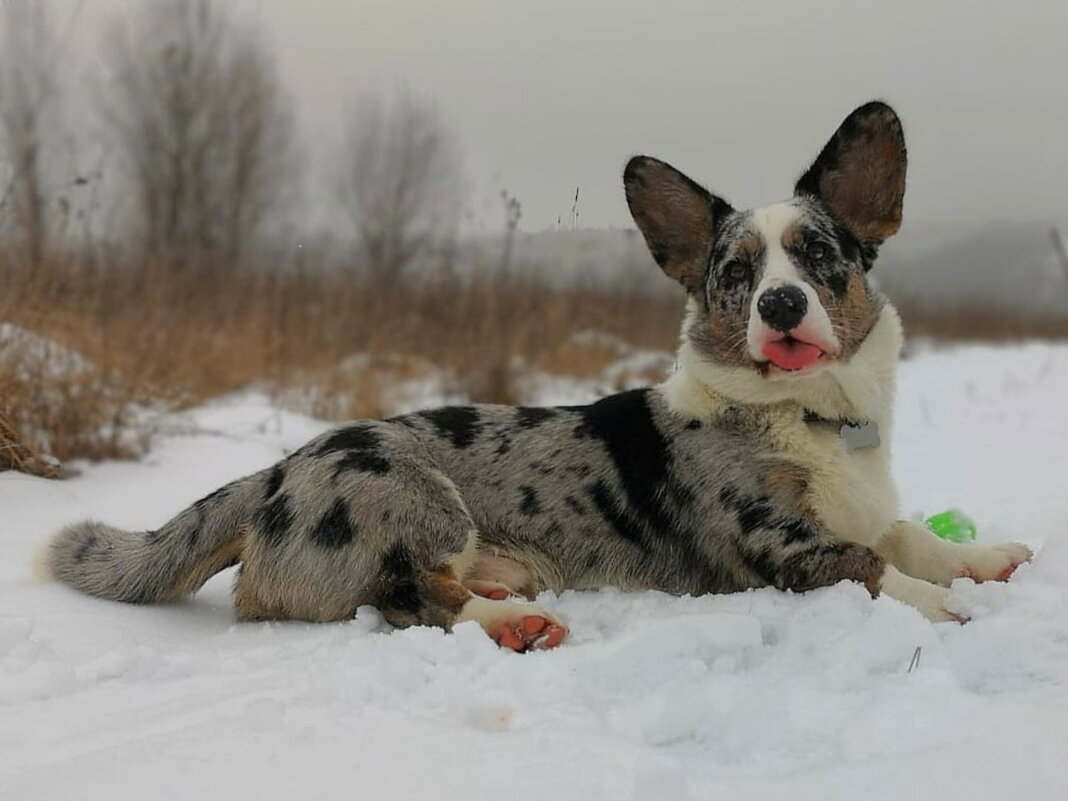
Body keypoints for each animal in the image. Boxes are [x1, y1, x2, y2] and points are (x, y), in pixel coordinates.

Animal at [43, 101, 1033, 653]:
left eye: (820, 253)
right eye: (736, 271)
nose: (782, 306)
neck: (811, 417)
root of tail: (275, 473)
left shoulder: (865, 511)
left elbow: (909, 534)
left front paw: (985, 559)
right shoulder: (782, 545)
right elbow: (875, 566)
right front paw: (949, 607)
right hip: (416, 496)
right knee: (405, 595)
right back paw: (509, 627)